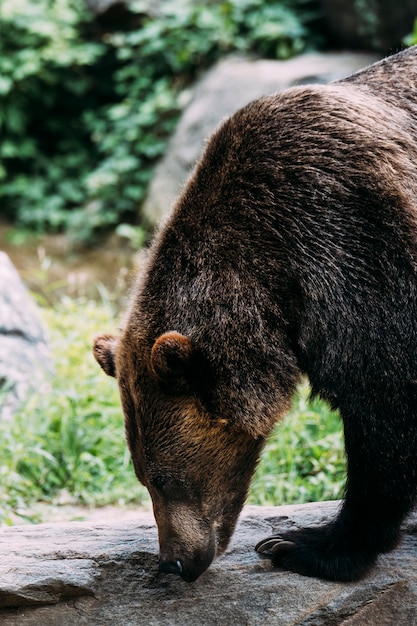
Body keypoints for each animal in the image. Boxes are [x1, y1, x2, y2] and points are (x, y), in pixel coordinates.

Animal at [93, 46, 416, 584]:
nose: (175, 561)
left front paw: (306, 544)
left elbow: (385, 401)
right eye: (141, 477)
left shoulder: (358, 239)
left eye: (164, 478)